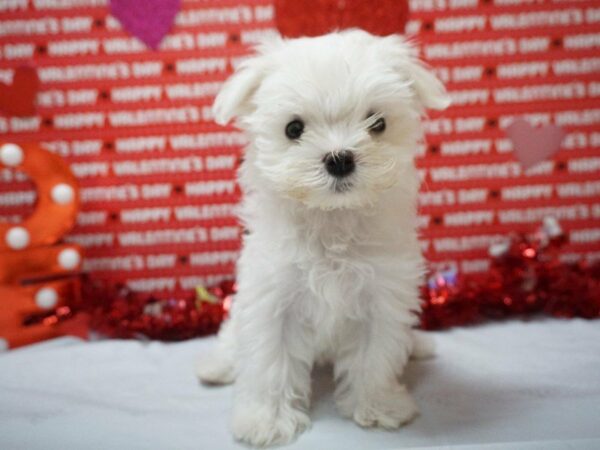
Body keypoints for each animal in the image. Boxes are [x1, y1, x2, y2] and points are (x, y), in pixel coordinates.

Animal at [197, 29, 450, 446]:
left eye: (377, 123)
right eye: (293, 129)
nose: (339, 158)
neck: (332, 221)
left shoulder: (382, 299)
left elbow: (375, 358)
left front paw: (378, 406)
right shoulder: (272, 299)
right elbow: (270, 363)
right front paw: (267, 421)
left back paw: (418, 345)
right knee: (232, 336)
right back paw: (217, 365)